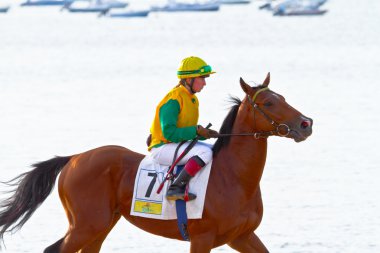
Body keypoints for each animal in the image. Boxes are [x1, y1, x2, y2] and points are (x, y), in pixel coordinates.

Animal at [0, 72, 312, 252]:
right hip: (85, 226)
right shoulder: (202, 238)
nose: (306, 124)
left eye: (283, 97)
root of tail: (75, 158)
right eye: (269, 103)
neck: (235, 178)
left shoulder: (242, 236)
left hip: (100, 225)